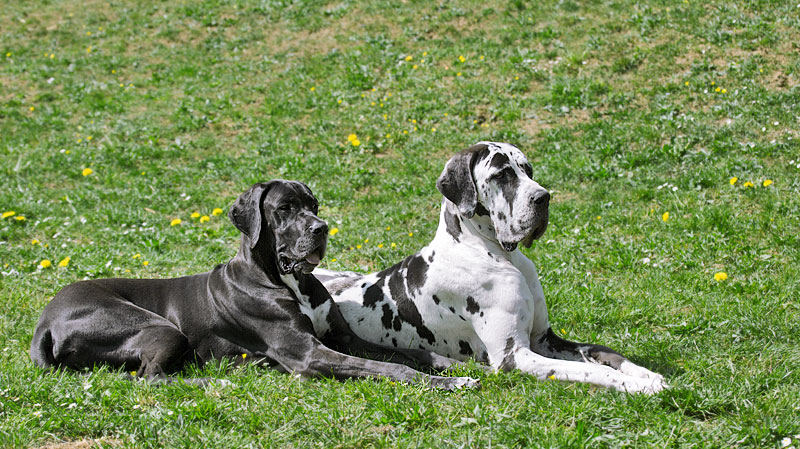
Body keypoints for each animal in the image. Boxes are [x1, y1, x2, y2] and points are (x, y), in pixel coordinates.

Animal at [31, 178, 478, 388]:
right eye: (285, 209)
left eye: (314, 205)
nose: (321, 228)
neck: (288, 279)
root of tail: (44, 322)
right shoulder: (307, 355)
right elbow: (391, 368)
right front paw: (448, 382)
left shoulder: (344, 339)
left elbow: (408, 353)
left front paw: (452, 365)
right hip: (159, 326)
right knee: (151, 377)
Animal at [316, 141, 664, 392]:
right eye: (502, 174)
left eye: (527, 170)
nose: (544, 197)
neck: (494, 253)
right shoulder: (514, 357)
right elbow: (588, 369)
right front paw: (635, 385)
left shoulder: (544, 339)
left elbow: (605, 352)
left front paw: (646, 374)